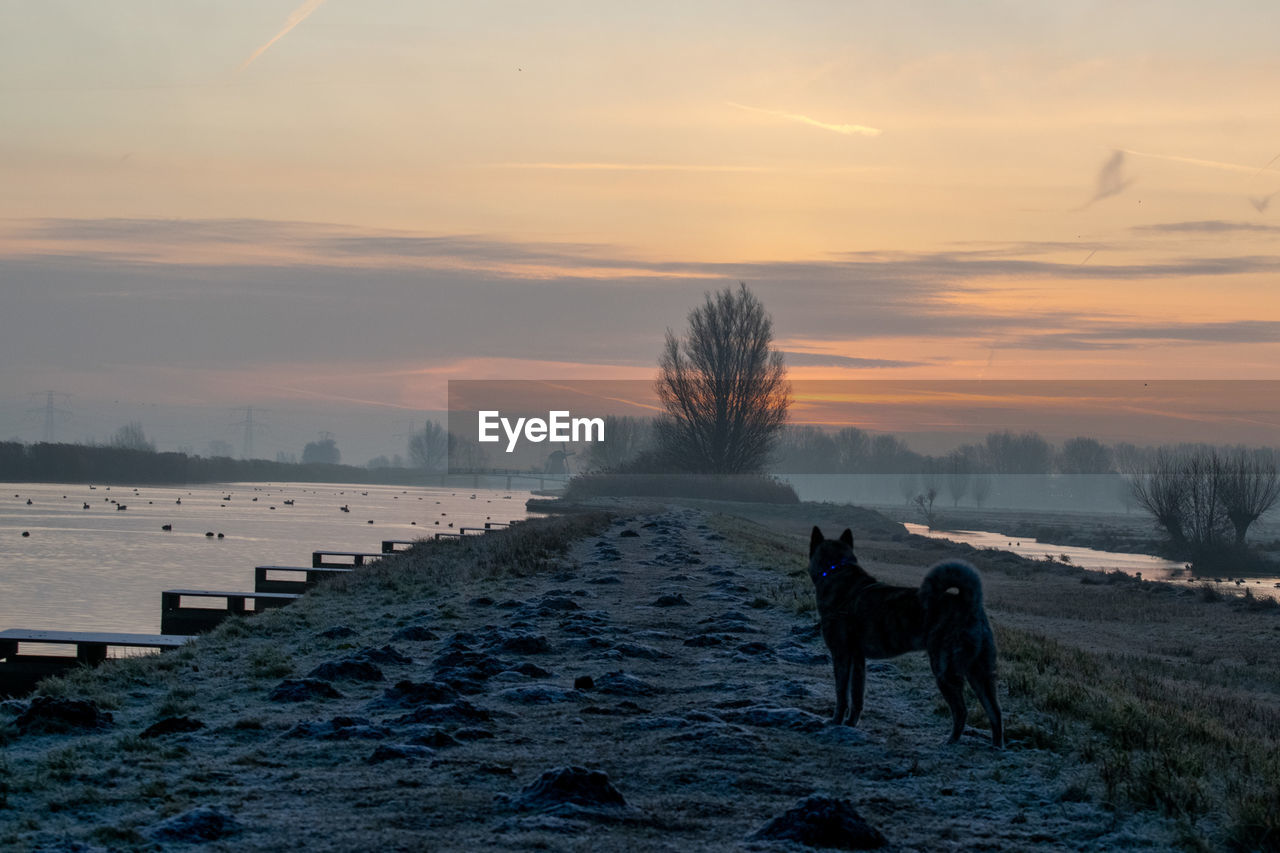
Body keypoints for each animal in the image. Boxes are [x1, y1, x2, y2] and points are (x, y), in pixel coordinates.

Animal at [808, 525, 998, 742]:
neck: (837, 570)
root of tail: (969, 603)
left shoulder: (841, 655)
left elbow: (841, 694)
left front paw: (835, 722)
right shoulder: (857, 660)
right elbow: (856, 696)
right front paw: (850, 723)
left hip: (944, 669)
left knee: (961, 711)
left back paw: (949, 742)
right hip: (979, 674)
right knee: (995, 714)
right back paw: (996, 746)